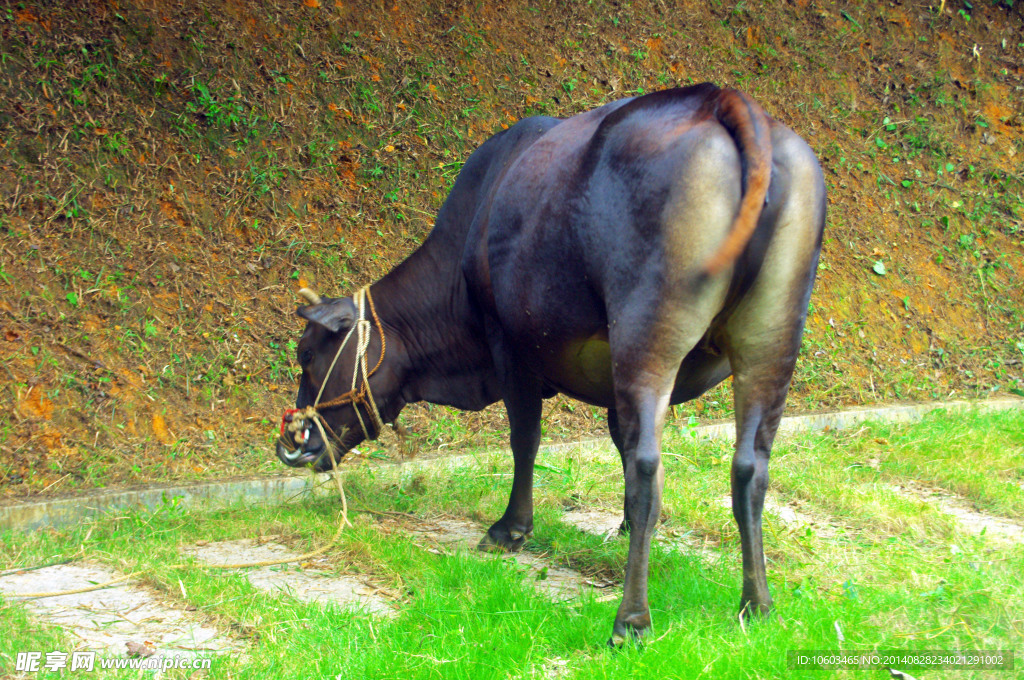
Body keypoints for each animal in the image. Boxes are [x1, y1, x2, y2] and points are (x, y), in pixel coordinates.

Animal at [276, 82, 827, 647]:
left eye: (307, 354)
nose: (294, 444)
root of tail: (721, 99)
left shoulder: (507, 344)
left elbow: (527, 440)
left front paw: (511, 528)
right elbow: (619, 443)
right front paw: (624, 525)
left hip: (647, 328)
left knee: (650, 466)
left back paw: (631, 621)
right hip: (772, 336)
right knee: (750, 467)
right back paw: (756, 606)